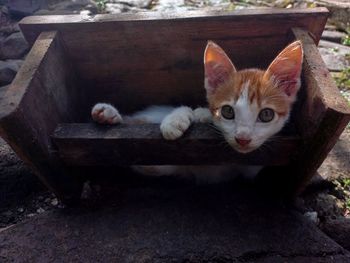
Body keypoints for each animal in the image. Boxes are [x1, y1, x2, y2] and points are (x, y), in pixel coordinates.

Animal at [91, 40, 302, 184]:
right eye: (228, 111)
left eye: (266, 115)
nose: (242, 139)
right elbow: (188, 109)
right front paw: (181, 119)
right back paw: (107, 113)